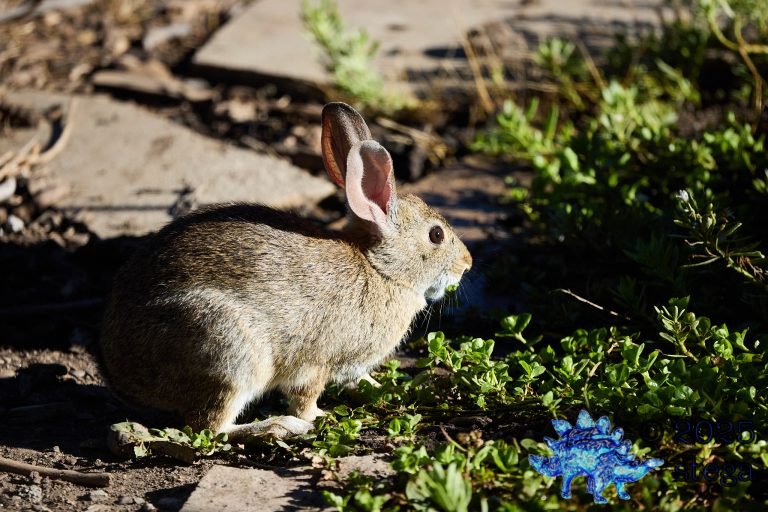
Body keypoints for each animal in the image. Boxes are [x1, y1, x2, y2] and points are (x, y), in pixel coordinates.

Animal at [99, 102, 473, 440]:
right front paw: (318, 417)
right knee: (209, 426)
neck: (381, 269)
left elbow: (360, 379)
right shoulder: (315, 363)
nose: (467, 264)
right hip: (229, 351)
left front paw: (384, 387)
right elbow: (306, 396)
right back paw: (278, 427)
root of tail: (121, 376)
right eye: (436, 235)